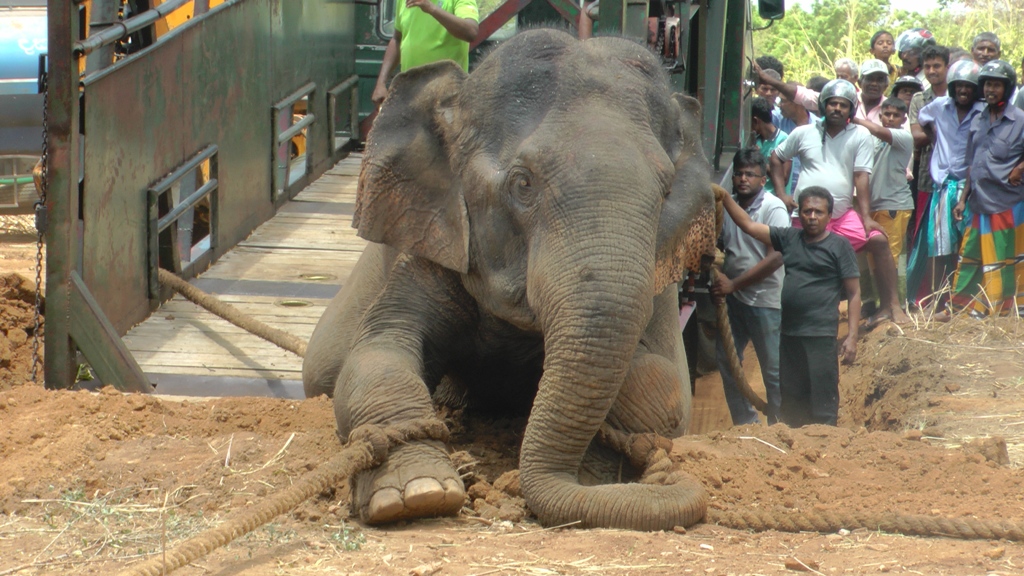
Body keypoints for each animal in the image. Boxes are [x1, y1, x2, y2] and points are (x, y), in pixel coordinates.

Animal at [303, 26, 716, 528]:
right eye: (523, 184)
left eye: (666, 191)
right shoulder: (434, 251)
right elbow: (376, 353)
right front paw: (417, 495)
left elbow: (663, 382)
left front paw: (597, 476)